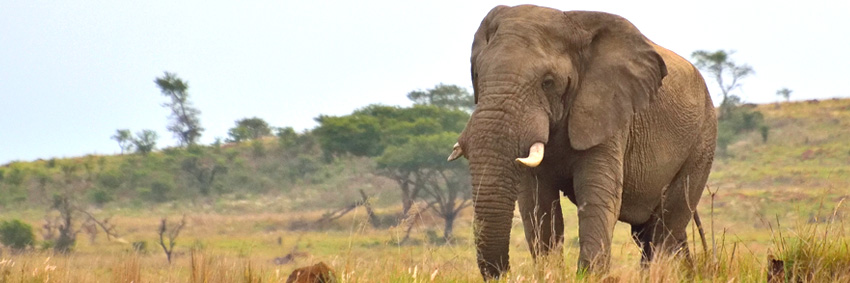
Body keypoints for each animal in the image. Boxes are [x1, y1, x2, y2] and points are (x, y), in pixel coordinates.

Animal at [448, 3, 712, 280]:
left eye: (548, 82)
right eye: (477, 75)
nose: (505, 273)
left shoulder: (609, 111)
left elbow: (596, 194)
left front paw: (589, 276)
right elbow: (537, 202)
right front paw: (549, 274)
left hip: (702, 142)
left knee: (665, 227)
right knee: (650, 232)